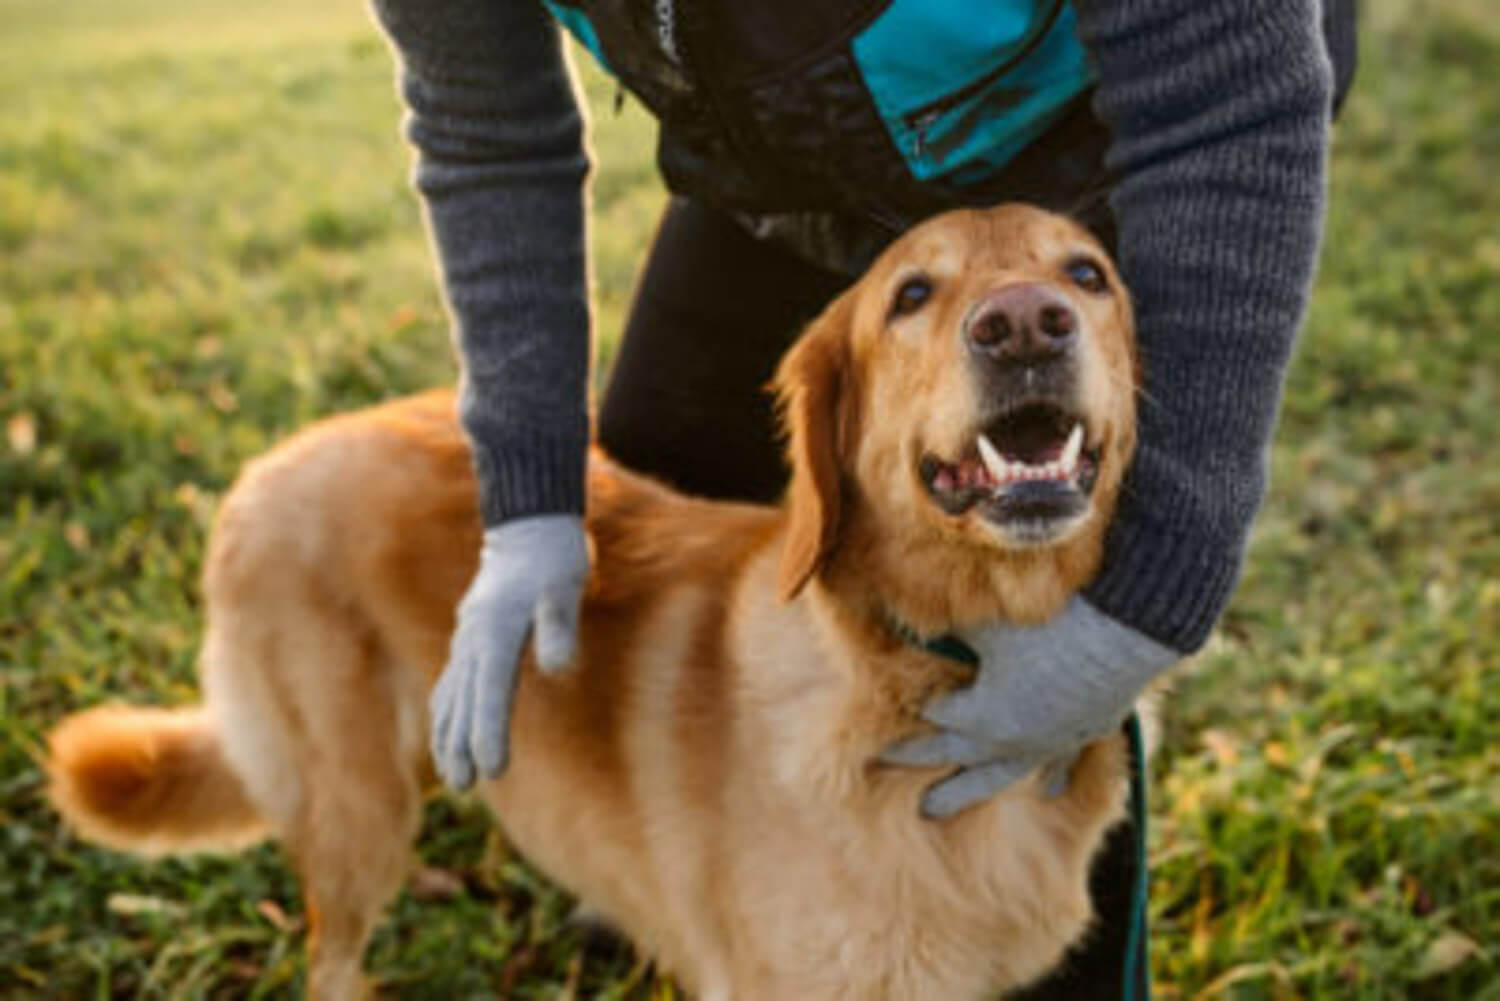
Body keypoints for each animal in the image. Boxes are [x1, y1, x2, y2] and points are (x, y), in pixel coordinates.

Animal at [52, 204, 1140, 1001]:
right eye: (911, 293)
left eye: (1088, 274)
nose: (1026, 323)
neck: (931, 663)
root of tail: (261, 466)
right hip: (354, 803)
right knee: (330, 954)